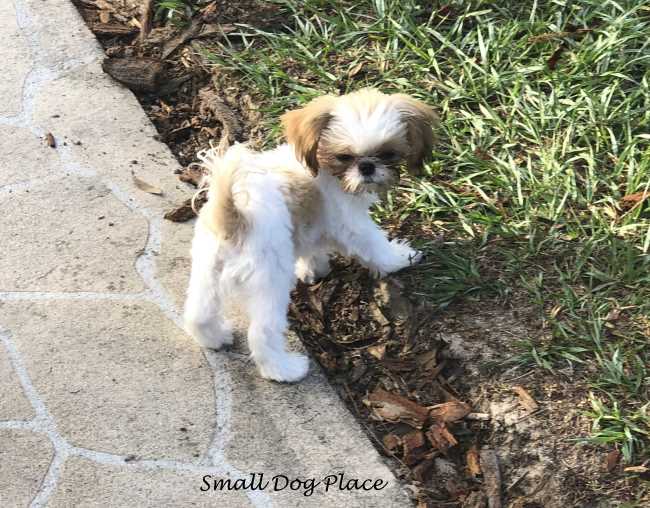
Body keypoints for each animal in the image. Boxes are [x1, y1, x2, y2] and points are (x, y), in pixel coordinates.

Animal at [182, 88, 436, 380]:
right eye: (344, 157)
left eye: (387, 153)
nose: (367, 167)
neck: (322, 165)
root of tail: (233, 217)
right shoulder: (350, 221)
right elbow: (374, 245)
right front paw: (401, 258)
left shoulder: (311, 225)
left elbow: (312, 248)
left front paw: (314, 268)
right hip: (270, 280)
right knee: (262, 333)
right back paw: (285, 369)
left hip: (208, 269)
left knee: (198, 313)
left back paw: (215, 337)